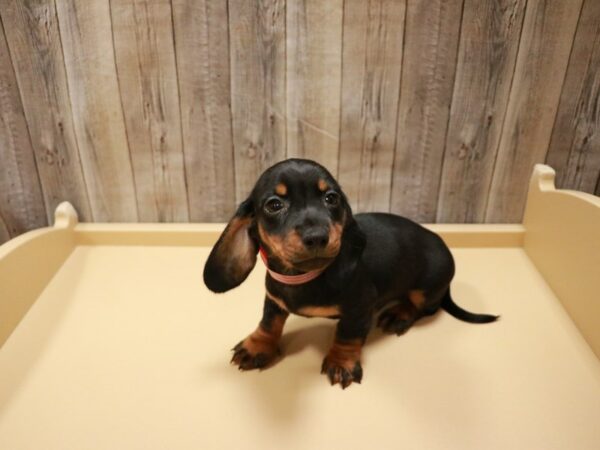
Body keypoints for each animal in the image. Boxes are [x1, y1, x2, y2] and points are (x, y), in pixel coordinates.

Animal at [203, 160, 496, 388]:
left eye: (331, 198)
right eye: (274, 205)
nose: (317, 237)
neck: (305, 276)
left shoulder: (359, 308)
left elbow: (347, 335)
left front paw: (341, 362)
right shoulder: (274, 299)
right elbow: (268, 323)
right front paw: (257, 346)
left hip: (426, 287)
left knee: (425, 307)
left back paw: (399, 314)